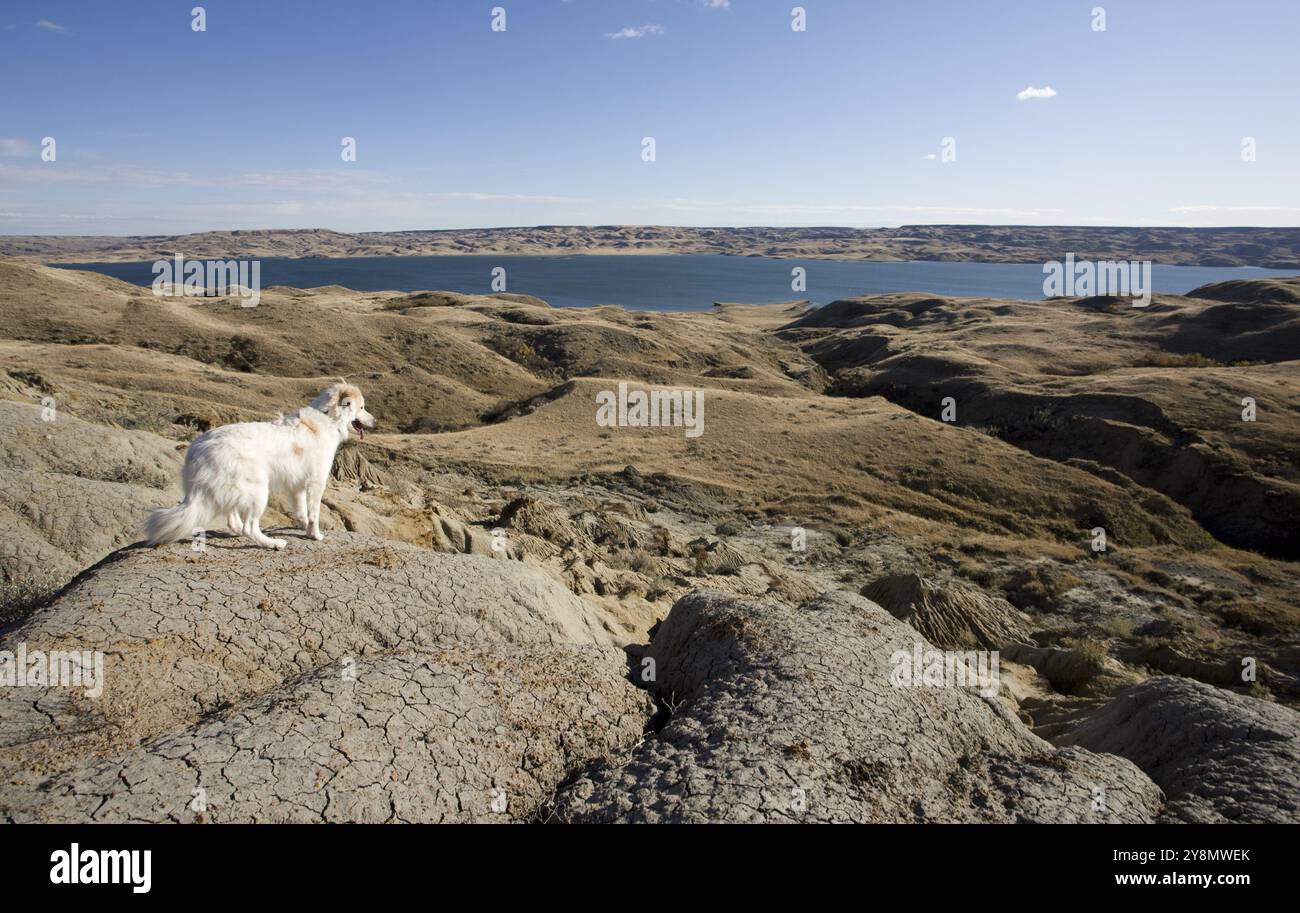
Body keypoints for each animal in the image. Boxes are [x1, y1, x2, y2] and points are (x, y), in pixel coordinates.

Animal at [144, 384, 377, 551]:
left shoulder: (297, 485)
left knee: (234, 520)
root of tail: (198, 449)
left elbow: (301, 510)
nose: (375, 422)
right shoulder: (316, 482)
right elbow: (314, 513)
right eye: (362, 407)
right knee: (249, 527)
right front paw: (315, 534)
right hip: (258, 491)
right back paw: (273, 543)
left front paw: (303, 526)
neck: (328, 418)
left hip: (234, 489)